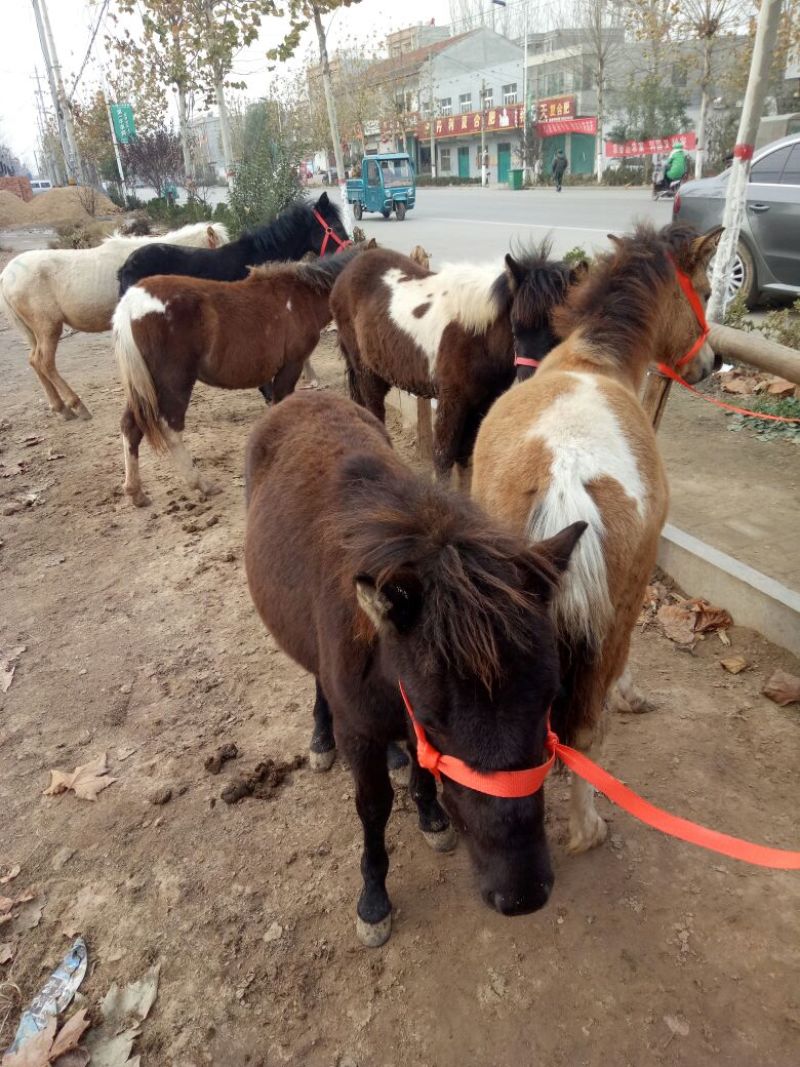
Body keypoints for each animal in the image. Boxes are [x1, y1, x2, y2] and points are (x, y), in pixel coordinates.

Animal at [0, 221, 228, 421]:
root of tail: (6, 276)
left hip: (33, 332)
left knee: (34, 361)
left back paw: (61, 408)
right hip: (48, 327)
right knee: (44, 362)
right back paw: (77, 405)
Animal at [113, 248, 362, 507]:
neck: (299, 296)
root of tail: (131, 301)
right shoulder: (291, 366)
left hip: (145, 387)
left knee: (130, 426)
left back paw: (136, 492)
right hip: (174, 383)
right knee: (171, 429)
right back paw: (201, 484)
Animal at [244, 391, 584, 946]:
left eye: (549, 698)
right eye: (434, 716)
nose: (522, 894)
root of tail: (305, 395)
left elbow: (424, 774)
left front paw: (429, 814)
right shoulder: (364, 729)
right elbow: (373, 807)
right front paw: (373, 900)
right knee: (317, 681)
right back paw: (321, 739)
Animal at [329, 241, 583, 482]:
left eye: (561, 330)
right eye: (515, 323)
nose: (532, 381)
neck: (478, 336)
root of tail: (349, 269)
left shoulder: (482, 402)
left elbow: (465, 457)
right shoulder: (452, 400)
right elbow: (443, 458)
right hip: (366, 372)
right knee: (374, 412)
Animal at [472, 221, 722, 855]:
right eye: (708, 291)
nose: (713, 362)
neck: (592, 360)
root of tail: (567, 469)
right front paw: (631, 694)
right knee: (584, 729)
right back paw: (587, 830)